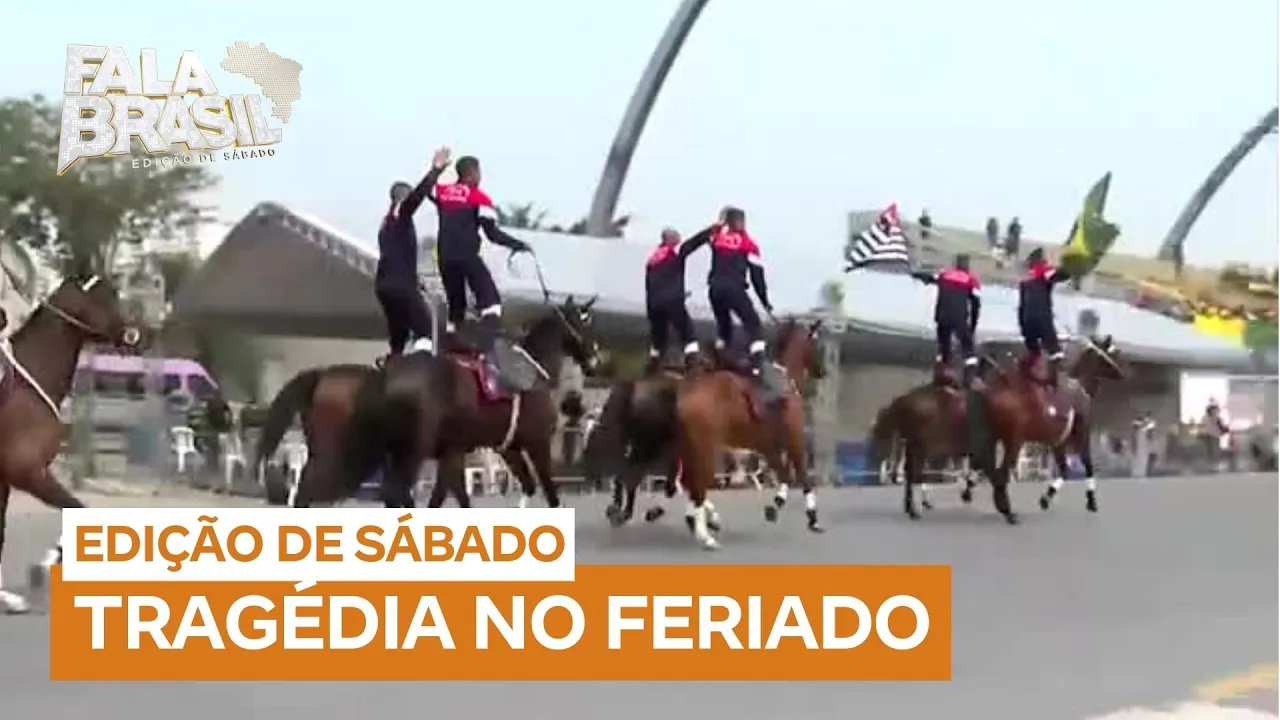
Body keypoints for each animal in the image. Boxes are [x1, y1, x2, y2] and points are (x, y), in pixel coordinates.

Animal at [0, 274, 145, 614]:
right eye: (107, 297)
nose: (133, 334)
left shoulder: (6, 480)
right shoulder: (29, 474)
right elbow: (80, 510)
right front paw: (43, 567)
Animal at [327, 295, 603, 510]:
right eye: (586, 321)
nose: (595, 360)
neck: (534, 370)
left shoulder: (507, 448)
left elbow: (527, 485)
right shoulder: (538, 443)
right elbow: (550, 494)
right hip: (416, 450)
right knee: (399, 493)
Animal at [672, 318, 826, 549]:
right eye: (816, 343)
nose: (823, 371)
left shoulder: (769, 448)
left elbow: (784, 475)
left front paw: (775, 506)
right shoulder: (795, 441)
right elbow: (802, 477)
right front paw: (813, 517)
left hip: (690, 449)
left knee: (688, 482)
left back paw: (700, 521)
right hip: (705, 448)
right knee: (697, 484)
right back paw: (705, 534)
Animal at [977, 334, 1129, 520]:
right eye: (1115, 352)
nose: (1125, 373)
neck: (1078, 387)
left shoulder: (1058, 442)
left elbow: (1064, 470)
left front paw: (1046, 499)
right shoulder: (1081, 433)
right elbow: (1087, 464)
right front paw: (1091, 500)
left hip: (994, 435)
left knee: (986, 464)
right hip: (1014, 440)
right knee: (1001, 470)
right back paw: (1005, 508)